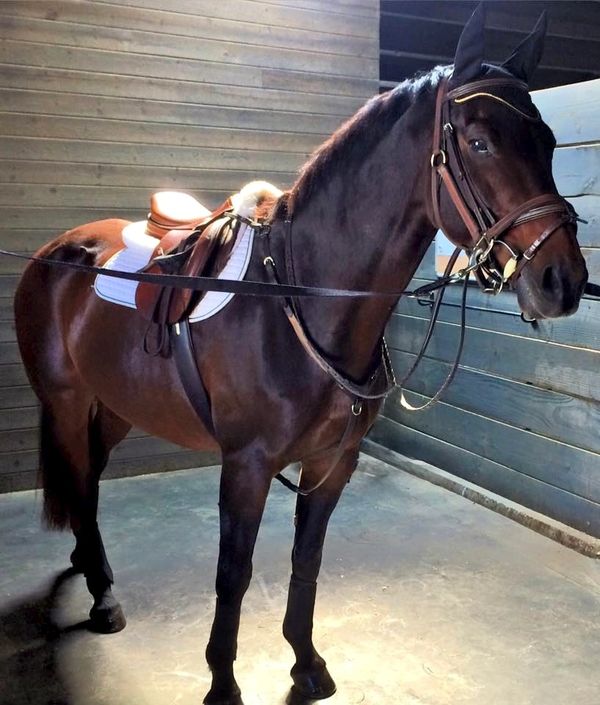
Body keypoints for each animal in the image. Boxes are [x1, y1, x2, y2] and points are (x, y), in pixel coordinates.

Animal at [12, 7, 588, 704]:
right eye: (479, 143)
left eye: (549, 142)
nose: (562, 281)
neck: (299, 297)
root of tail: (55, 252)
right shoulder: (247, 466)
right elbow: (233, 573)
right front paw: (223, 683)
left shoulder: (331, 463)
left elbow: (305, 559)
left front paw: (305, 662)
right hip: (67, 403)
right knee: (80, 482)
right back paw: (102, 597)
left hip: (115, 406)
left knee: (88, 482)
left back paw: (91, 570)